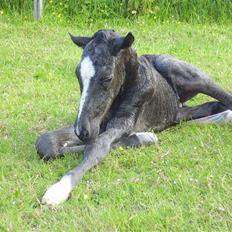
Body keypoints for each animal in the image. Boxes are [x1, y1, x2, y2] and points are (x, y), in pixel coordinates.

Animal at [36, 29, 232, 205]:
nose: (82, 130)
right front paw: (144, 137)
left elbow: (98, 145)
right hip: (177, 112)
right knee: (208, 109)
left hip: (187, 74)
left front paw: (59, 189)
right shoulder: (98, 124)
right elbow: (46, 142)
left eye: (107, 78)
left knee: (225, 99)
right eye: (78, 75)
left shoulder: (122, 123)